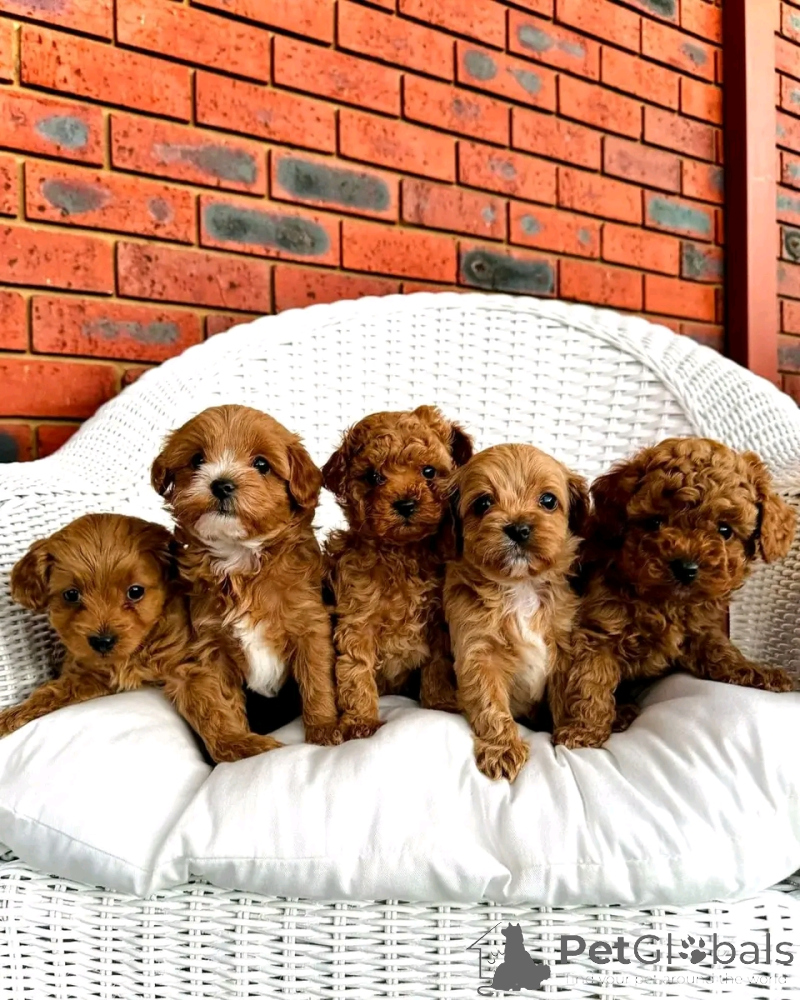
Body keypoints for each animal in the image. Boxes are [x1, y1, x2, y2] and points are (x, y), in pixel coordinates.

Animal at [0, 513, 278, 762]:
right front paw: (12, 715)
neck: (139, 646)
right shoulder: (88, 674)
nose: (102, 641)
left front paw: (240, 744)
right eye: (71, 595)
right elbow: (49, 691)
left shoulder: (190, 667)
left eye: (135, 592)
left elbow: (212, 711)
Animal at [152, 404, 341, 749]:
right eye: (197, 460)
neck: (239, 557)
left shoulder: (310, 625)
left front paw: (323, 728)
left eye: (261, 464)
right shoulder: (211, 646)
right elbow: (219, 704)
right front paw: (238, 744)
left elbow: (317, 678)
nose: (222, 484)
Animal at [322, 405, 473, 739]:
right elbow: (355, 669)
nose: (405, 504)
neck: (400, 553)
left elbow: (438, 665)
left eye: (429, 471)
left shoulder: (437, 622)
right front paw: (361, 722)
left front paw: (440, 703)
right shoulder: (357, 619)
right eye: (373, 477)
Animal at [444, 444, 589, 781]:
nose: (518, 528)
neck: (520, 586)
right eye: (483, 503)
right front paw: (503, 749)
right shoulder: (477, 653)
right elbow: (490, 704)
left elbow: (566, 695)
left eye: (548, 500)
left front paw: (568, 731)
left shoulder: (563, 646)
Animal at [550, 437, 796, 749]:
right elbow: (591, 680)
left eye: (725, 530)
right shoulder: (597, 631)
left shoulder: (701, 629)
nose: (685, 567)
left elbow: (722, 652)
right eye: (655, 522)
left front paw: (757, 672)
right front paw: (582, 730)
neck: (665, 602)